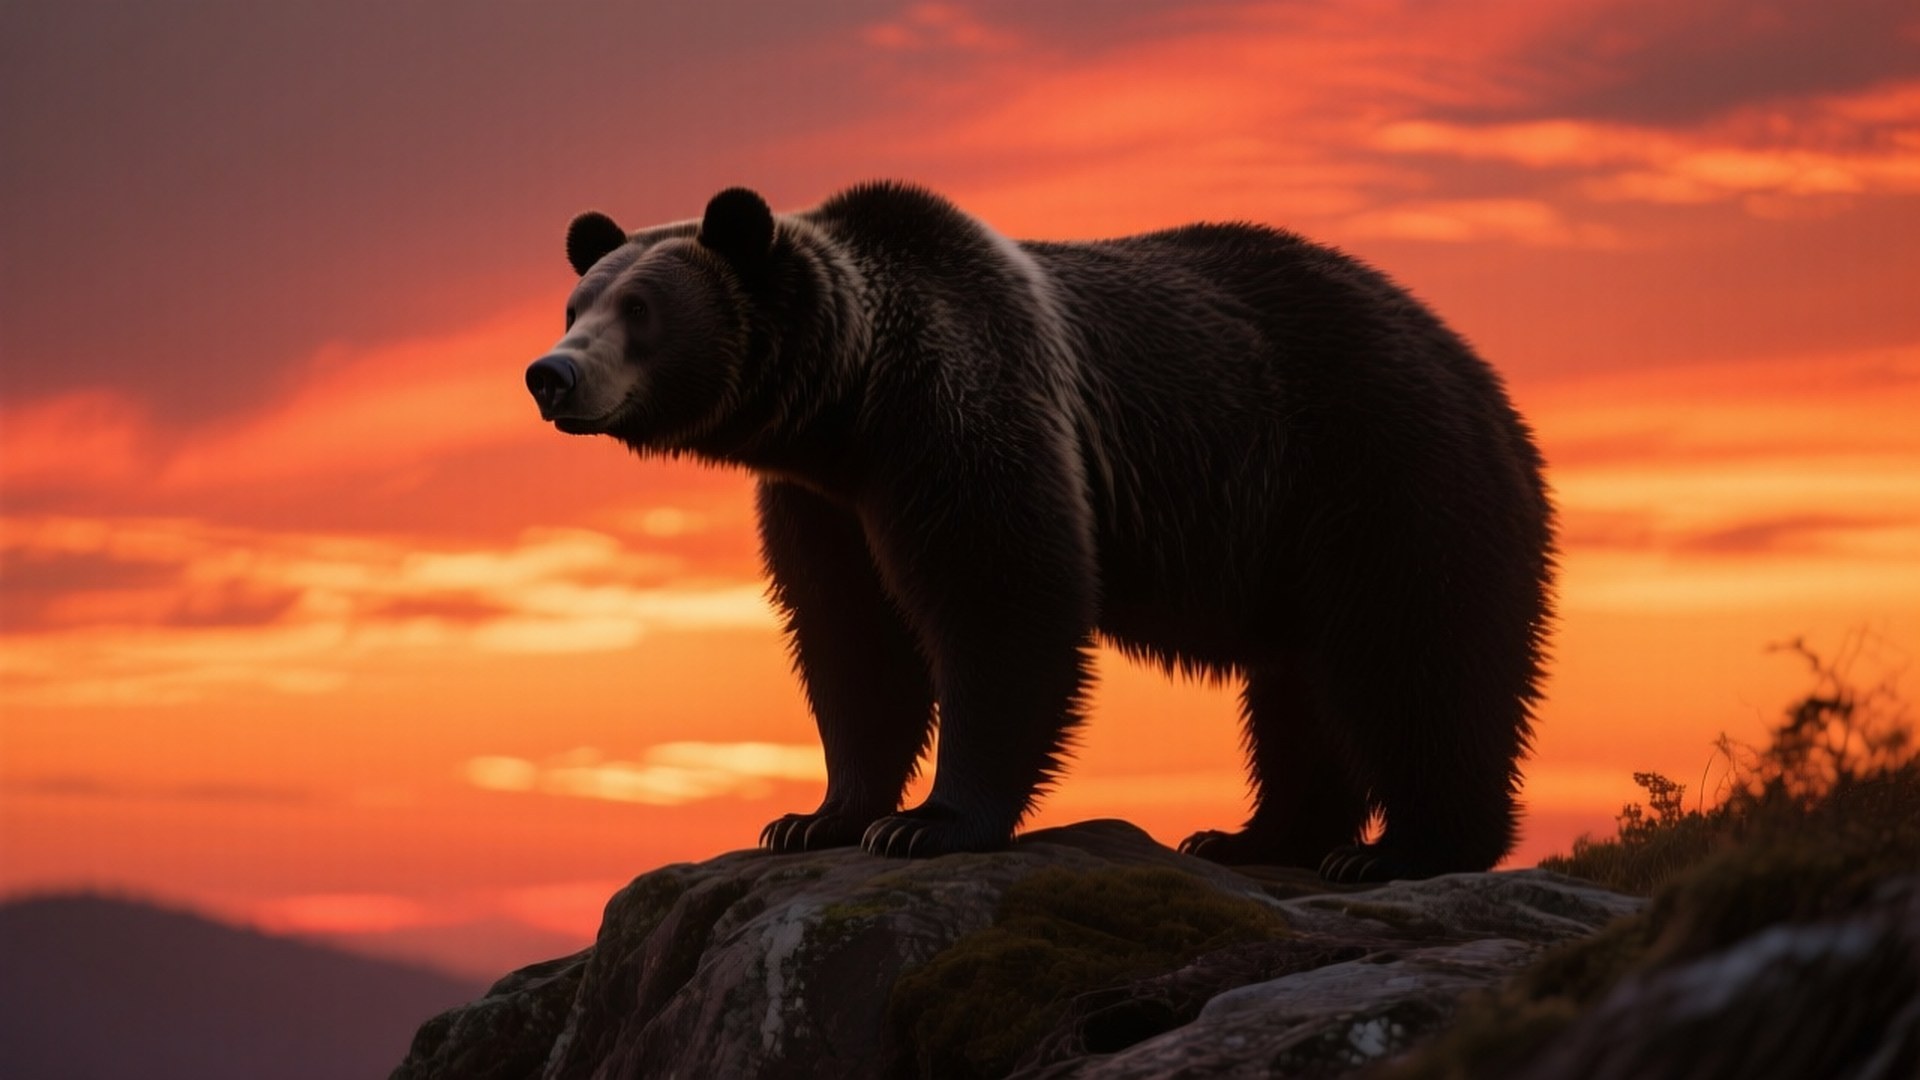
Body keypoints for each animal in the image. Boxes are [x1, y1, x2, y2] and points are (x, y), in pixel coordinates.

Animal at [525, 182, 1554, 882]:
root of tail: (1474, 365)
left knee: (1416, 653)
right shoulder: (825, 503)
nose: (551, 374)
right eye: (576, 305)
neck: (849, 405)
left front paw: (928, 824)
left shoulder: (962, 414)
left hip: (1380, 468)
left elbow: (1002, 598)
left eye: (640, 311)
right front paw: (814, 818)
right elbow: (851, 640)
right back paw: (1255, 835)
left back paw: (1409, 848)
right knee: (1301, 684)